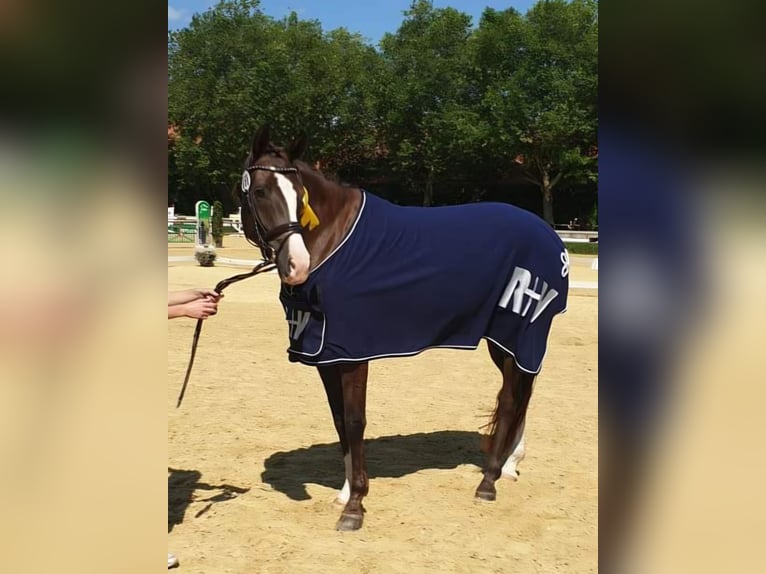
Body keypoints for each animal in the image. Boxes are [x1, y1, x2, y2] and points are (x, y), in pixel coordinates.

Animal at [239, 126, 569, 531]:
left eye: (299, 195)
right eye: (259, 191)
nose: (296, 264)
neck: (336, 242)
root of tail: (548, 234)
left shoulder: (352, 353)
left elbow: (355, 421)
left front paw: (355, 506)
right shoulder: (326, 355)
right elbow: (339, 420)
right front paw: (345, 493)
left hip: (520, 332)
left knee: (511, 399)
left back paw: (488, 482)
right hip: (504, 340)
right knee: (520, 392)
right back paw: (508, 466)